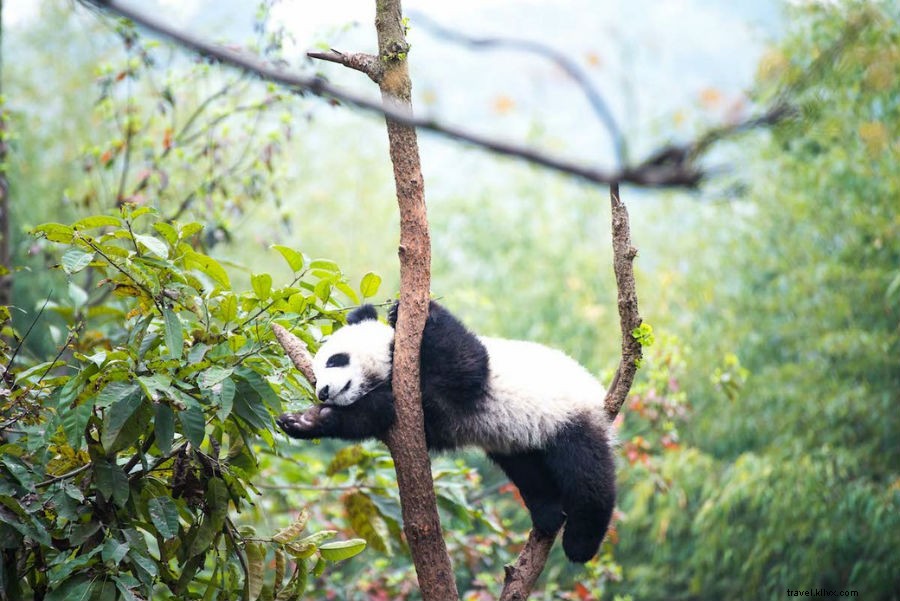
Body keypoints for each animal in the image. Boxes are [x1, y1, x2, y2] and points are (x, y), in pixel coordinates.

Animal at [277, 301, 616, 563]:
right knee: (530, 475)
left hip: (568, 418)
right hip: (518, 442)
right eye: (316, 372)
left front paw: (410, 311)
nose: (323, 392)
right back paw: (548, 513)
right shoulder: (415, 413)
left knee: (587, 477)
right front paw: (305, 421)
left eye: (336, 360)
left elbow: (466, 362)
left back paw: (580, 544)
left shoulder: (456, 371)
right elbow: (376, 414)